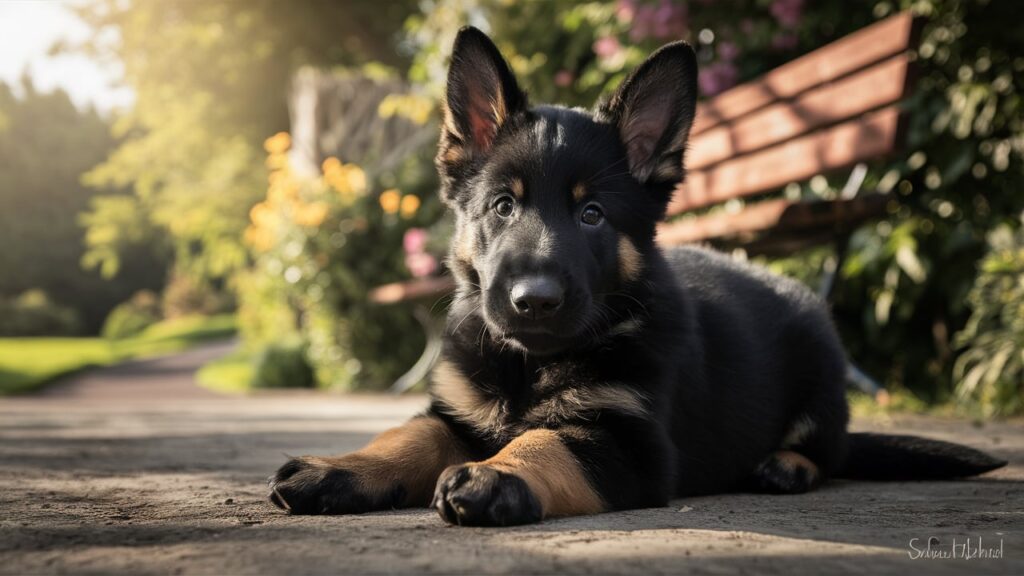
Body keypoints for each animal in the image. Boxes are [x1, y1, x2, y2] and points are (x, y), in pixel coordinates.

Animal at [266, 26, 1007, 522]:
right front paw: (341, 467)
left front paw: (497, 475)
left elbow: (547, 442)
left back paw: (786, 465)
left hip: (823, 374)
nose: (533, 301)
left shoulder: (630, 445)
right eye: (502, 206)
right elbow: (409, 435)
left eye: (592, 214)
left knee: (830, 449)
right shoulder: (454, 411)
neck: (530, 364)